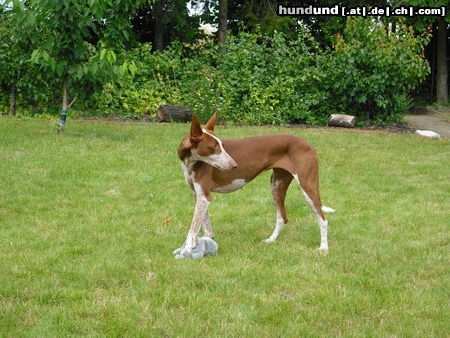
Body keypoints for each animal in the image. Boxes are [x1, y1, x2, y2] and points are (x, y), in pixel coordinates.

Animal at [176, 112, 334, 258]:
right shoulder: (199, 195)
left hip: (308, 186)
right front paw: (205, 243)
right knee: (282, 218)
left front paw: (188, 250)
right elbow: (204, 224)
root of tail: (308, 144)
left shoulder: (204, 197)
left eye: (221, 145)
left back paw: (324, 248)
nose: (234, 165)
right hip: (276, 186)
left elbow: (193, 227)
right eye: (214, 146)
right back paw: (271, 240)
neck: (191, 161)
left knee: (323, 219)